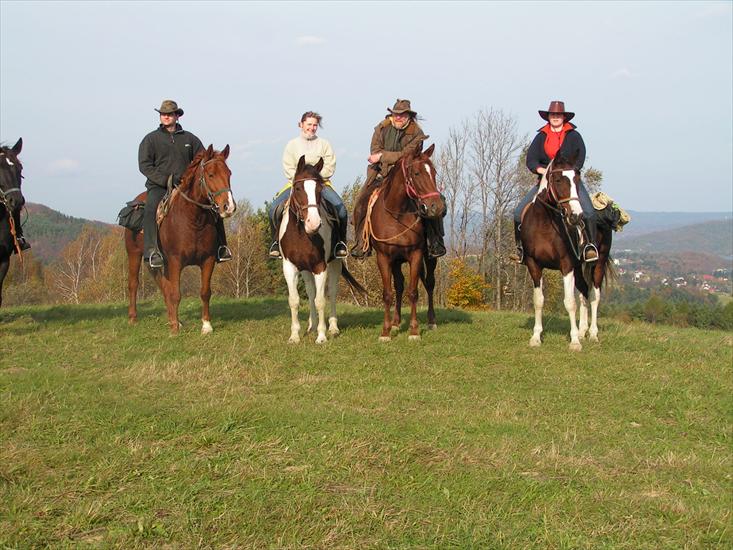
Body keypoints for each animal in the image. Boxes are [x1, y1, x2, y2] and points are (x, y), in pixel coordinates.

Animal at [124, 147, 236, 334]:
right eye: (211, 174)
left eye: (229, 173)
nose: (229, 207)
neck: (194, 220)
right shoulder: (175, 261)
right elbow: (175, 293)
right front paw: (175, 330)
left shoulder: (208, 260)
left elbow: (205, 292)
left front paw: (206, 325)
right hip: (134, 254)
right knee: (134, 284)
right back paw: (133, 318)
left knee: (164, 287)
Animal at [278, 156, 366, 344]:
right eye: (298, 188)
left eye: (319, 189)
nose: (314, 223)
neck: (303, 234)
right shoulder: (290, 267)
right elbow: (294, 300)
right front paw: (295, 336)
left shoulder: (320, 266)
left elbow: (321, 300)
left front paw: (322, 336)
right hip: (305, 269)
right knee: (310, 292)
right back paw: (311, 326)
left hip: (335, 264)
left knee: (331, 292)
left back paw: (333, 328)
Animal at [364, 143, 444, 340]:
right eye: (416, 173)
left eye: (434, 172)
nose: (437, 207)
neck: (397, 214)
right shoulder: (384, 258)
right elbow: (388, 293)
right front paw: (385, 331)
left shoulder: (415, 255)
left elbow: (413, 292)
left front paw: (414, 331)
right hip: (396, 262)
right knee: (399, 286)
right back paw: (395, 322)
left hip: (429, 258)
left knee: (429, 284)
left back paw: (431, 321)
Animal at [516, 153, 616, 352]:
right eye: (557, 180)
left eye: (576, 179)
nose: (576, 216)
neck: (544, 224)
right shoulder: (533, 264)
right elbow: (538, 300)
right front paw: (536, 337)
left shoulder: (566, 265)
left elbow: (570, 303)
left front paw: (575, 341)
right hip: (579, 267)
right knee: (584, 291)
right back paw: (583, 330)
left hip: (598, 263)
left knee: (595, 296)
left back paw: (592, 334)